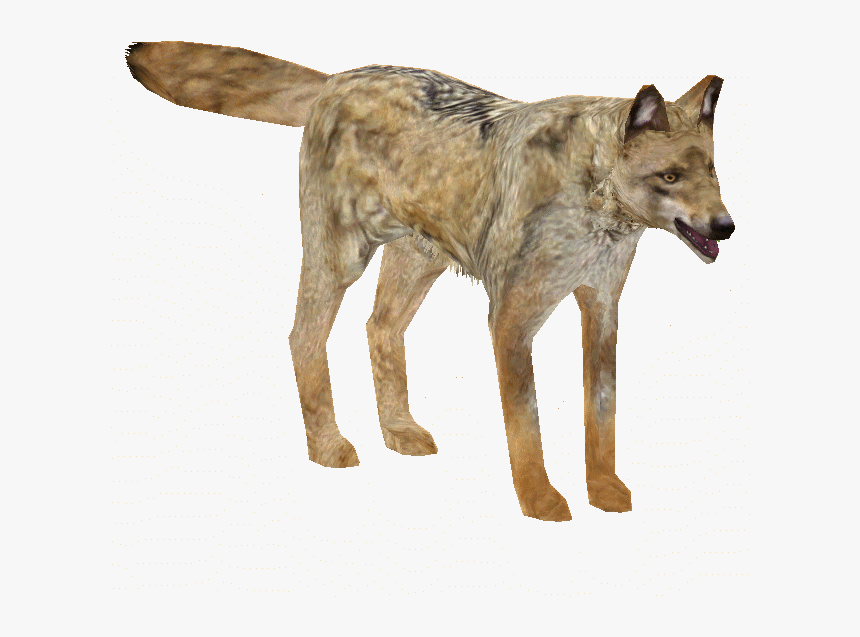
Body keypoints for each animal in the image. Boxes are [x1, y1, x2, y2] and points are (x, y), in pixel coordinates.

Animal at [126, 41, 735, 522]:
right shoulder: (510, 321)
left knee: (378, 330)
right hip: (342, 261)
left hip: (418, 265)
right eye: (670, 177)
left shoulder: (602, 310)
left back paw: (398, 430)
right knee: (303, 336)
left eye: (711, 173)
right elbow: (527, 429)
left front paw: (604, 492)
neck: (593, 204)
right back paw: (327, 446)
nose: (725, 227)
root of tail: (339, 78)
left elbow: (601, 421)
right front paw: (539, 501)